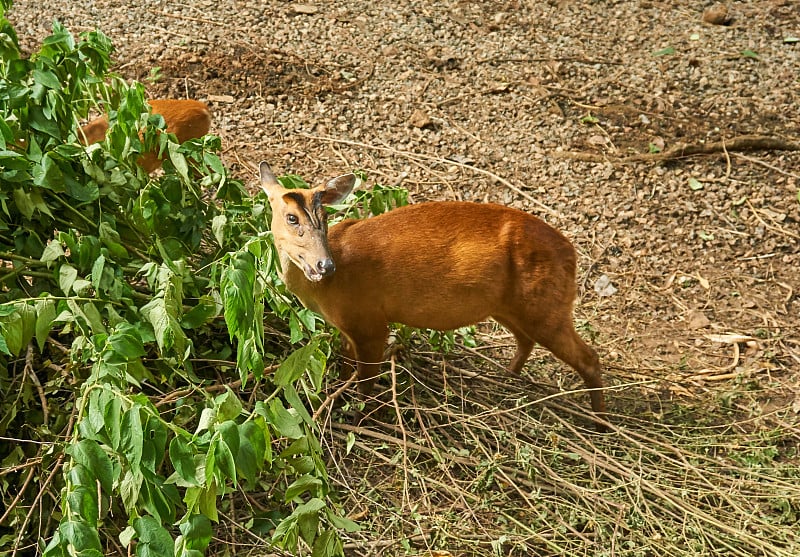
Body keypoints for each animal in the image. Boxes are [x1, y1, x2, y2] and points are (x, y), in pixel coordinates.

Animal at [260, 161, 608, 430]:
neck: (328, 291)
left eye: (324, 218)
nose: (324, 264)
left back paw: (601, 425)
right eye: (292, 217)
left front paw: (360, 421)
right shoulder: (348, 327)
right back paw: (507, 379)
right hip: (509, 307)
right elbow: (347, 368)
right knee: (526, 340)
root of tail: (571, 254)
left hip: (546, 306)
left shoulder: (370, 321)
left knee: (589, 357)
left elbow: (366, 383)